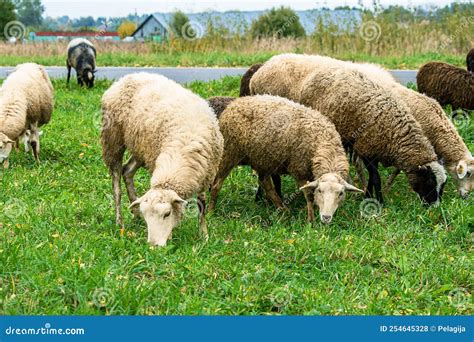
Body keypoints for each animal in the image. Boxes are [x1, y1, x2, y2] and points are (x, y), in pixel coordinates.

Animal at [101, 73, 223, 247]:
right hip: (113, 139)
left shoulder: (205, 175)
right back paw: (120, 221)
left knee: (127, 171)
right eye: (148, 217)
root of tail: (126, 77)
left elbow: (202, 206)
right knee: (116, 179)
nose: (153, 245)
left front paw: (203, 235)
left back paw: (135, 211)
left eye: (167, 214)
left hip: (140, 147)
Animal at [208, 95, 362, 223]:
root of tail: (235, 103)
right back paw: (211, 211)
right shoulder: (299, 170)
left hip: (262, 158)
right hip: (230, 153)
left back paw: (283, 209)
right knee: (216, 184)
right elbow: (308, 195)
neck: (324, 144)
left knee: (265, 183)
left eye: (341, 193)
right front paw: (311, 220)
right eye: (320, 190)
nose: (326, 217)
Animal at [250, 53, 446, 203]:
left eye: (442, 185)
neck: (394, 132)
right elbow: (376, 178)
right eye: (429, 182)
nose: (434, 206)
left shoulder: (370, 148)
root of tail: (257, 74)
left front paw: (367, 195)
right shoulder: (367, 147)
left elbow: (372, 178)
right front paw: (378, 201)